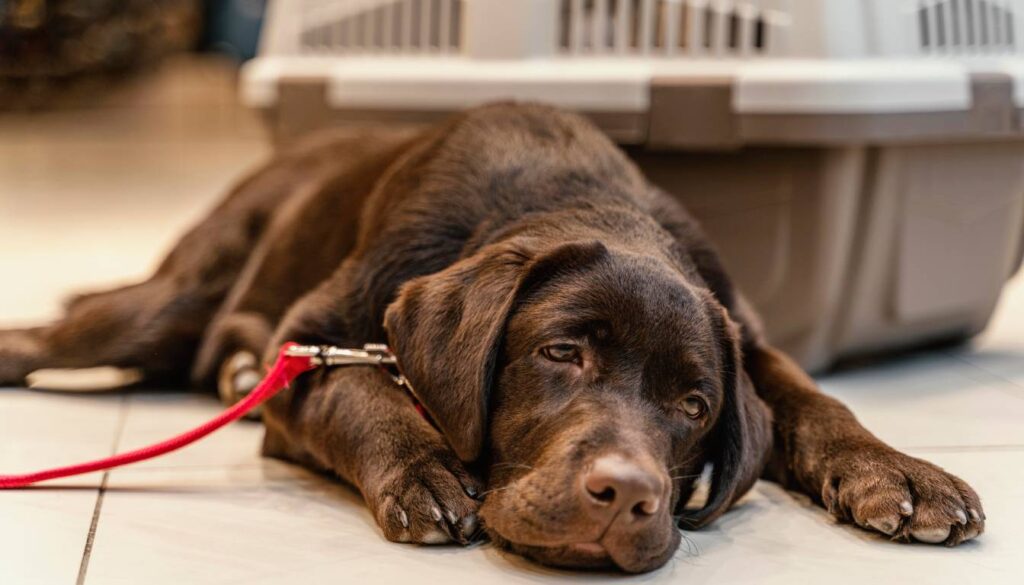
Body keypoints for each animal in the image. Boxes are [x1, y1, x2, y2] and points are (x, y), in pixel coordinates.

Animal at [0, 103, 983, 573]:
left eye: (694, 403)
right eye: (560, 352)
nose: (627, 494)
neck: (574, 194)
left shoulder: (744, 333)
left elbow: (814, 399)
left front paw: (898, 472)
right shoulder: (310, 345)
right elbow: (364, 391)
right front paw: (426, 470)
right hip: (172, 299)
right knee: (68, 331)